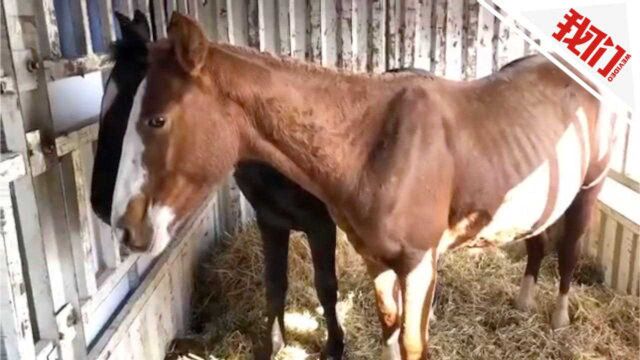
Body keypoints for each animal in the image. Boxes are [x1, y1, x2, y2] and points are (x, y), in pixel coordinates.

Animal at [112, 12, 624, 358]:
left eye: (157, 119)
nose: (124, 226)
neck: (372, 144)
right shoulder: (374, 258)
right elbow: (388, 327)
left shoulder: (419, 265)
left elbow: (412, 342)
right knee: (537, 243)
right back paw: (521, 304)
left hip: (588, 190)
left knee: (568, 252)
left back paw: (558, 320)